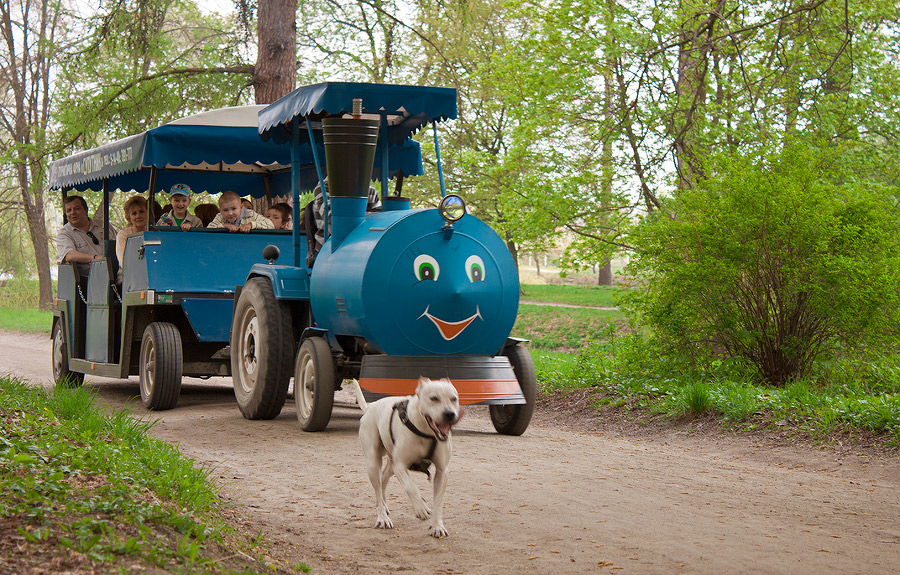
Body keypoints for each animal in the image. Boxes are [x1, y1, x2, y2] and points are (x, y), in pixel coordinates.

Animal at [352, 376, 464, 536]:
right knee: (378, 488)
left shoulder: (442, 471)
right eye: (434, 398)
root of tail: (370, 406)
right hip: (373, 462)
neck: (426, 432)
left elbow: (438, 501)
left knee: (383, 478)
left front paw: (437, 526)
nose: (450, 414)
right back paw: (382, 517)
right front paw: (420, 507)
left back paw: (385, 505)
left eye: (454, 399)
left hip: (391, 464)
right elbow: (411, 487)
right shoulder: (400, 465)